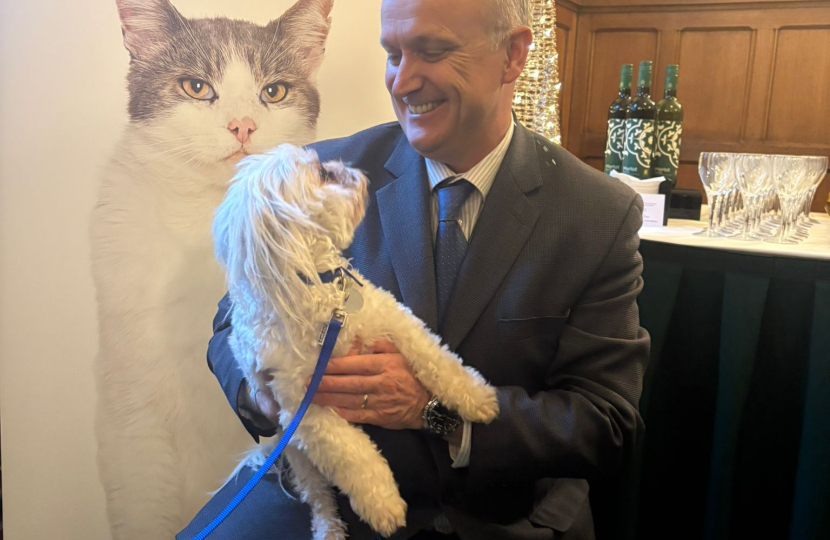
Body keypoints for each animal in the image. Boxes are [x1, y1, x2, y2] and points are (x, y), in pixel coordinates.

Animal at [214, 146, 500, 540]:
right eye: (322, 173)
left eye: (326, 162)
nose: (349, 167)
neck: (320, 292)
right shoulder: (303, 408)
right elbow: (351, 452)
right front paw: (382, 504)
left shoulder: (393, 318)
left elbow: (434, 356)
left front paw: (475, 396)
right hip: (297, 452)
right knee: (317, 495)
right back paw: (329, 528)